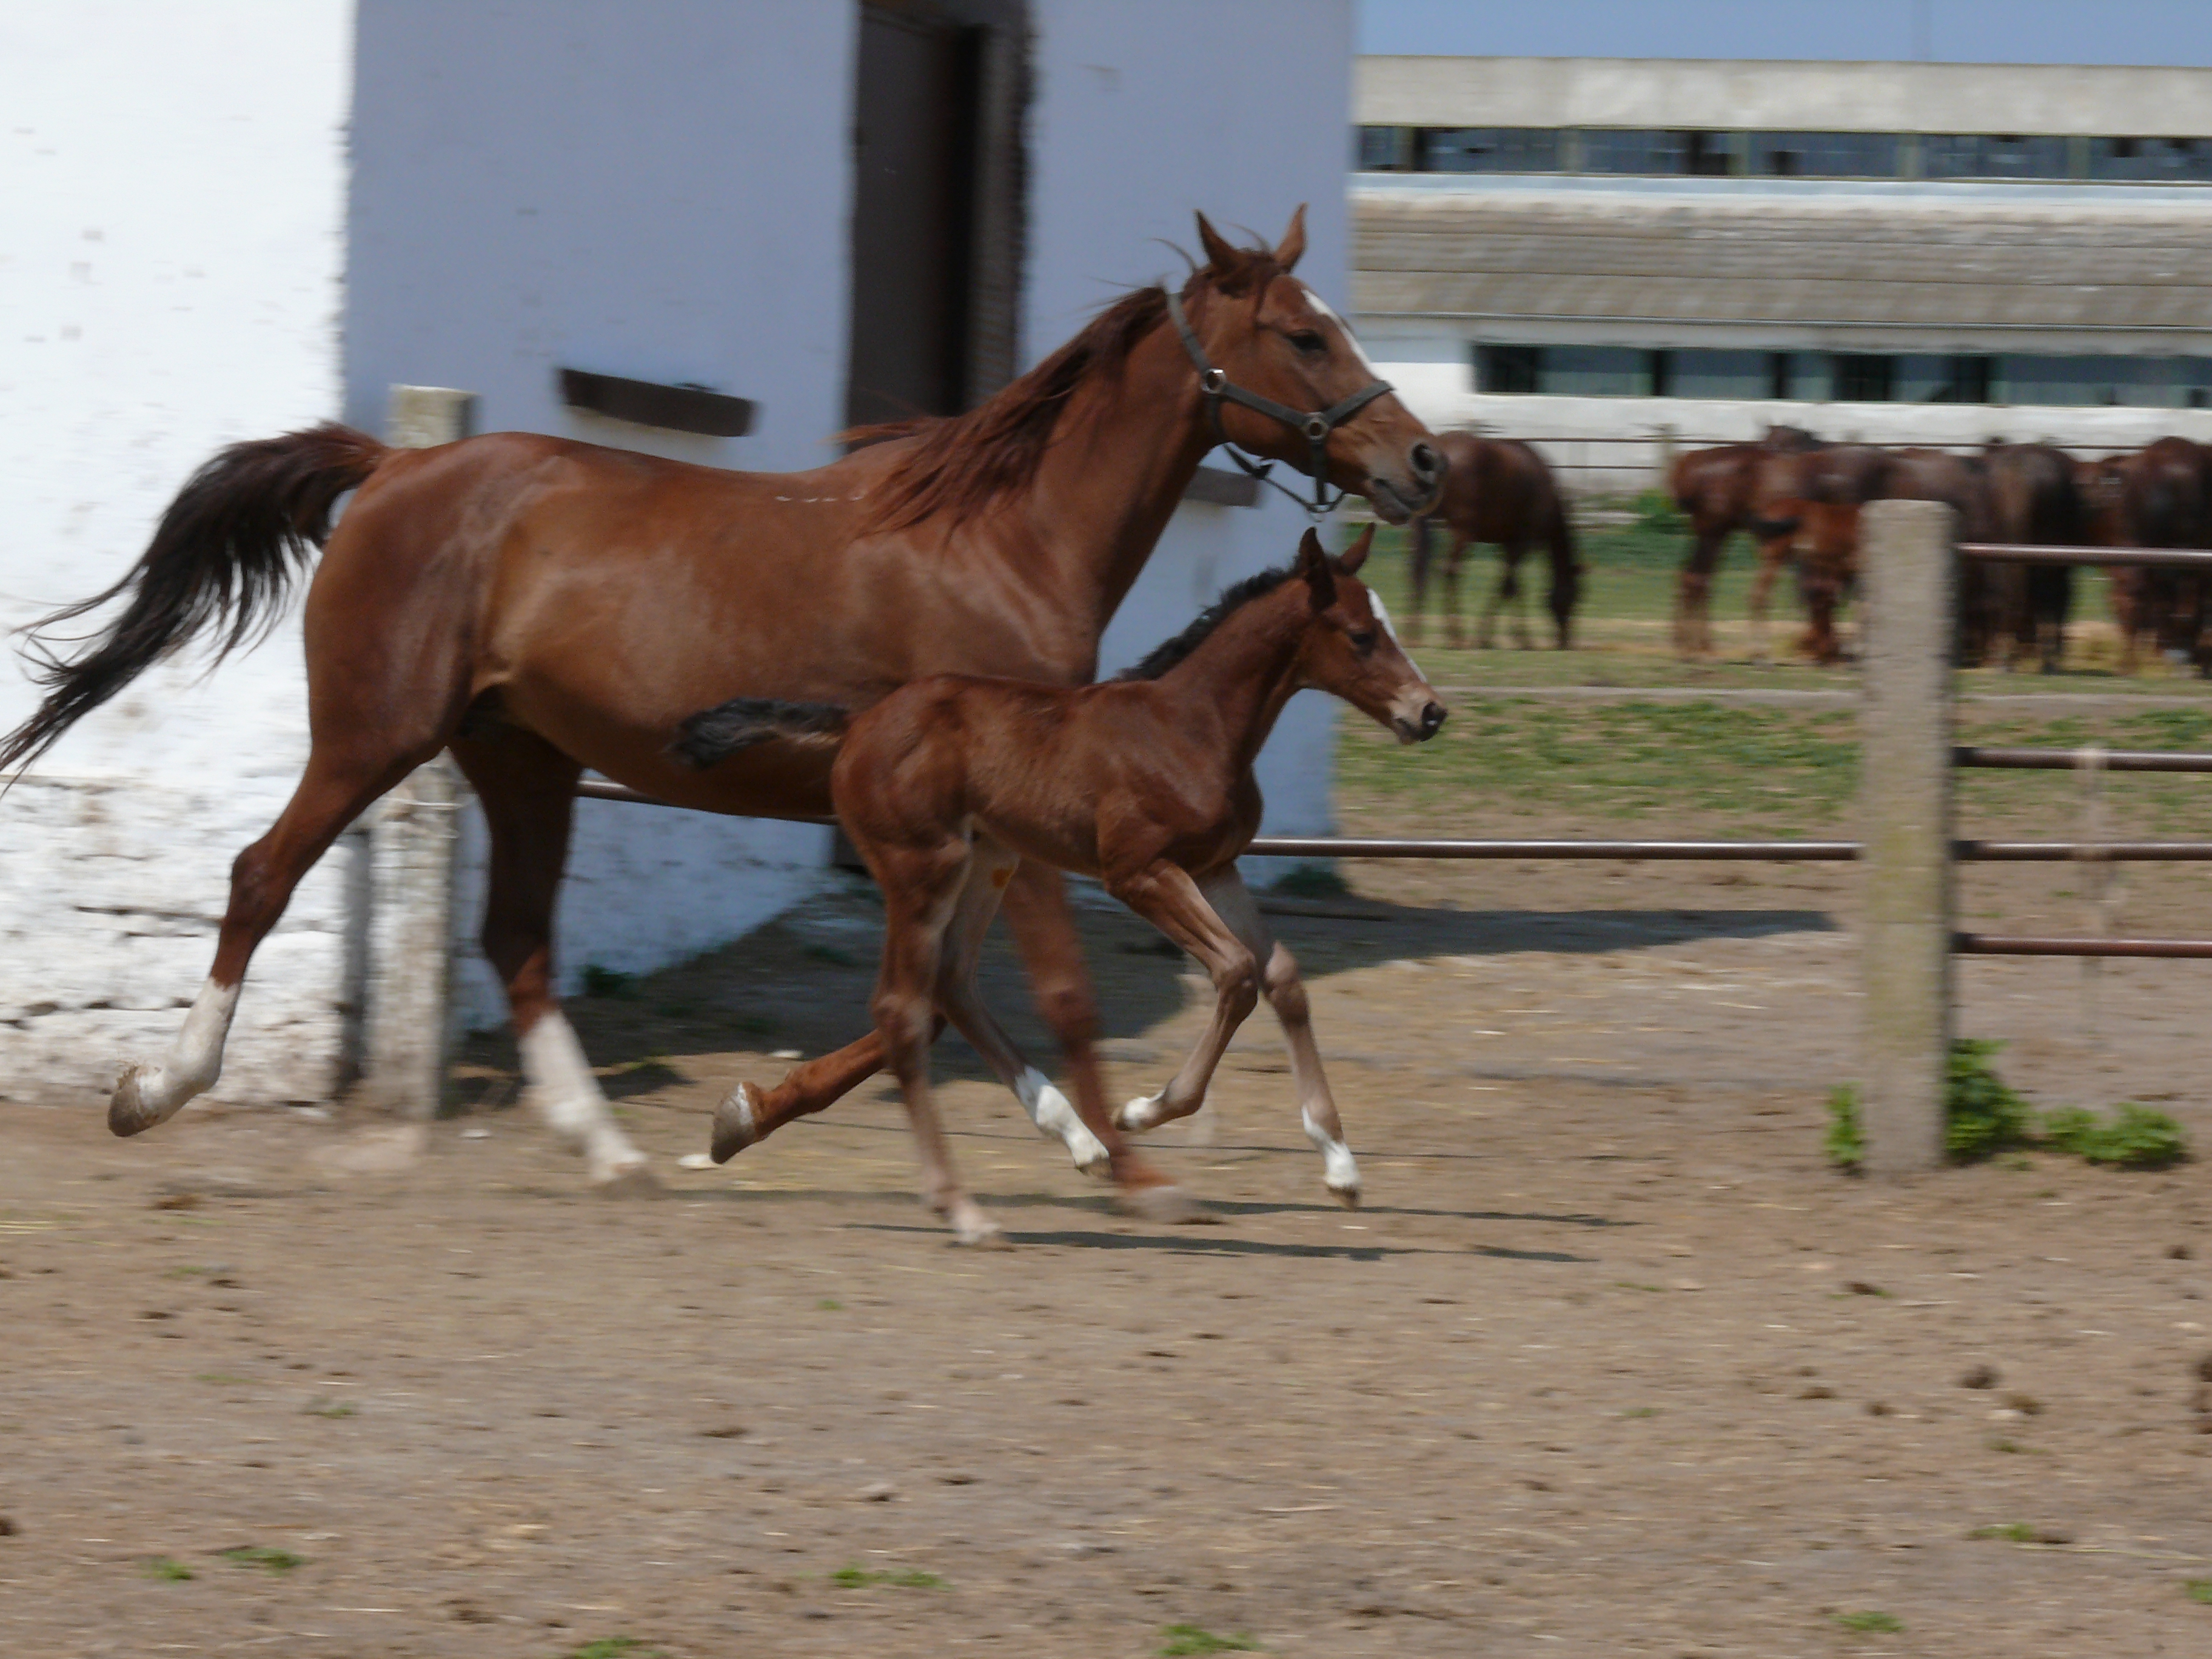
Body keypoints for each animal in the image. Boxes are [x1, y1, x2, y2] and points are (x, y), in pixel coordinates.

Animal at [677, 533, 1451, 1247]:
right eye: (1361, 635)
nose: (1431, 712)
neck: (1193, 728)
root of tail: (858, 722)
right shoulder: (1138, 872)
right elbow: (1235, 973)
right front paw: (1144, 1111)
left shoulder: (1216, 867)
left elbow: (1283, 978)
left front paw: (1340, 1164)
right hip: (921, 867)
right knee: (902, 1011)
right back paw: (966, 1207)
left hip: (990, 861)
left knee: (952, 985)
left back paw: (1075, 1139)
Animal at [1407, 435, 1583, 650]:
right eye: (1575, 595)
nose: (1565, 640)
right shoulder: (1522, 544)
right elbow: (1508, 586)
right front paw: (1502, 636)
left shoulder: (1509, 545)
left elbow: (1514, 588)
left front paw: (1514, 636)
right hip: (1463, 532)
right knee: (1450, 571)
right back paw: (1455, 635)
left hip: (1423, 525)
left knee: (1417, 569)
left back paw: (1414, 634)